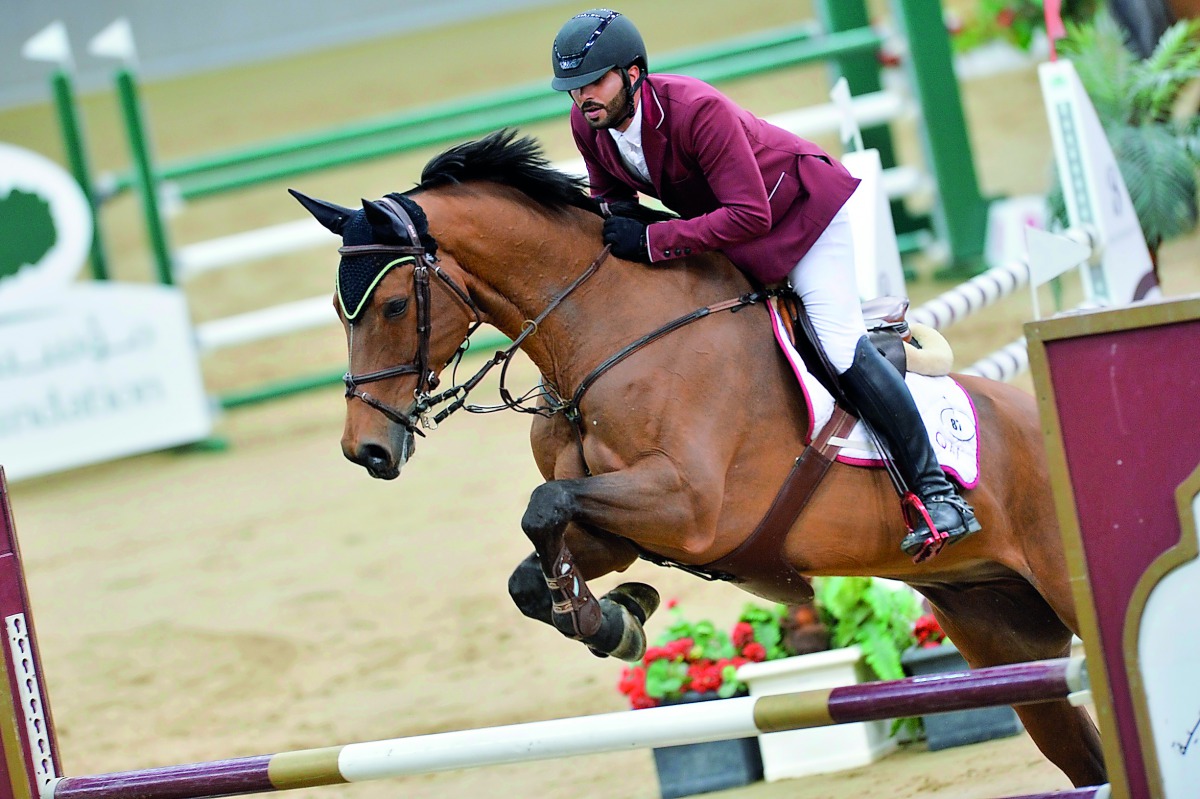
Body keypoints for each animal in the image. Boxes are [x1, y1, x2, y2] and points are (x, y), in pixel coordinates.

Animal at [288, 130, 1104, 782]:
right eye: (338, 311)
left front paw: (601, 617)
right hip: (1003, 636)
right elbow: (532, 565)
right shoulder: (621, 528)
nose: (365, 449)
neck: (603, 335)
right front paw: (618, 619)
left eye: (395, 305)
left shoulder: (690, 508)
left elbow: (540, 508)